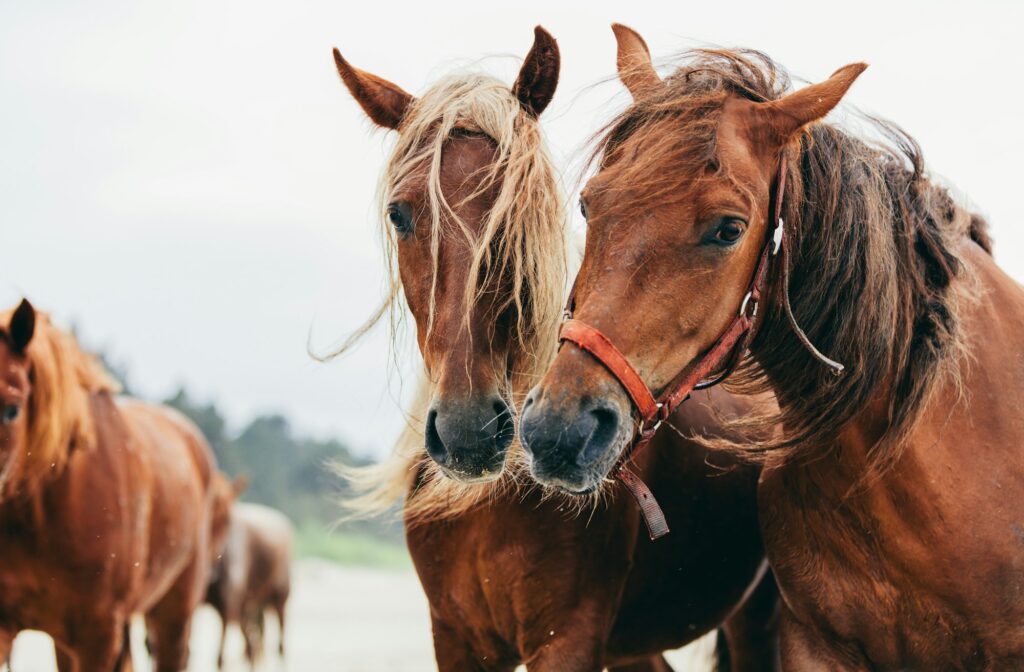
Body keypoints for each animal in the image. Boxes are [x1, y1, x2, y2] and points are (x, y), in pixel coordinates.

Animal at [204, 495, 292, 667]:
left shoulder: (228, 606)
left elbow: (220, 658)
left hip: (279, 598)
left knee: (279, 646)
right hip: (251, 608)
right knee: (253, 645)